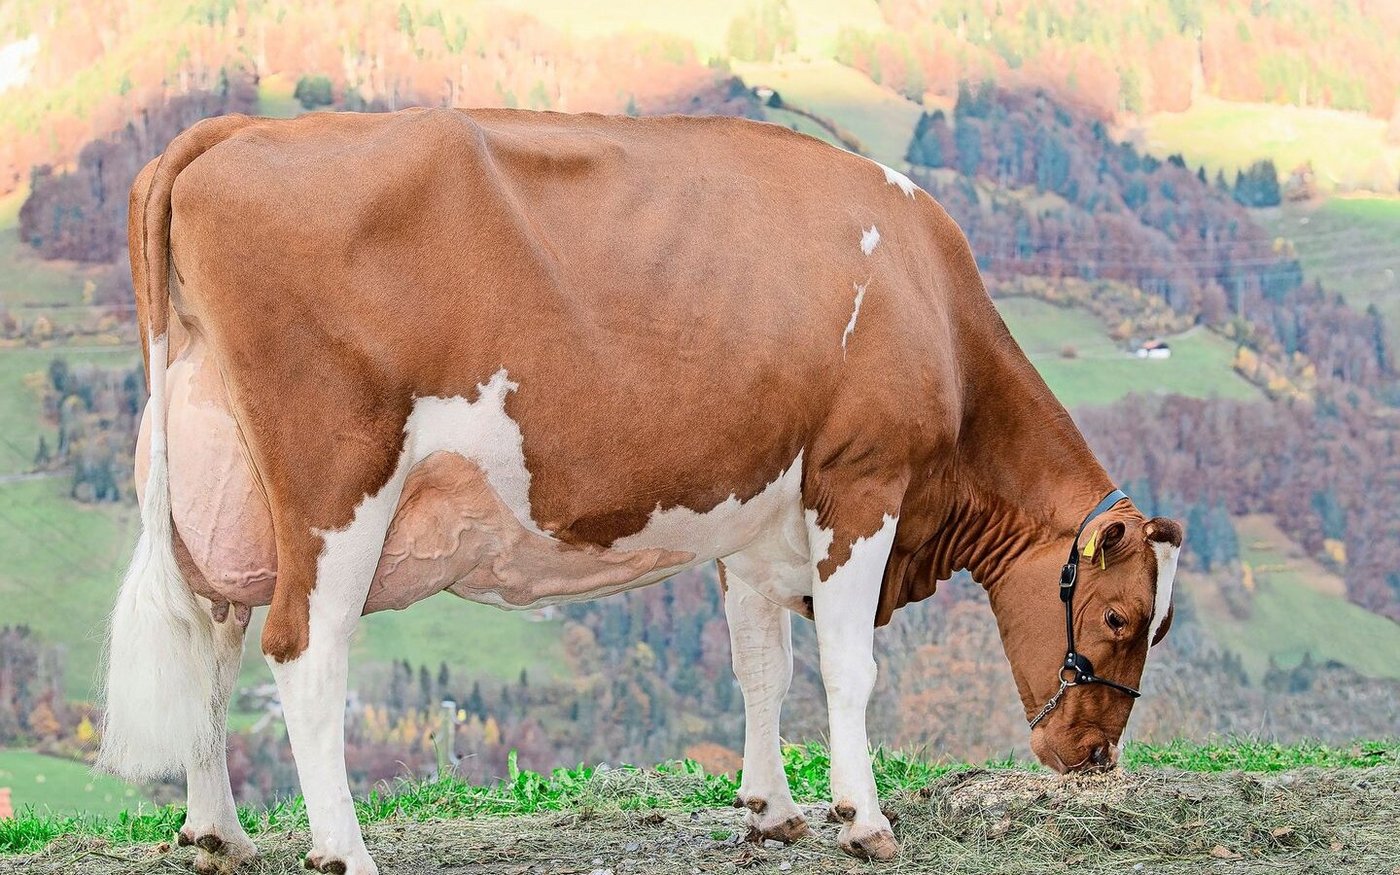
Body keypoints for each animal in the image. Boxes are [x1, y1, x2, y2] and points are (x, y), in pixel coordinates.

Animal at [99, 108, 1182, 875]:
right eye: (1120, 616)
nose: (1093, 757)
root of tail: (234, 131)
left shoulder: (756, 521)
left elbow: (761, 668)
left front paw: (771, 810)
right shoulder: (861, 481)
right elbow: (846, 667)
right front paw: (862, 818)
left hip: (221, 490)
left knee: (211, 640)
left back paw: (217, 831)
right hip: (336, 479)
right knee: (302, 651)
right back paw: (344, 848)